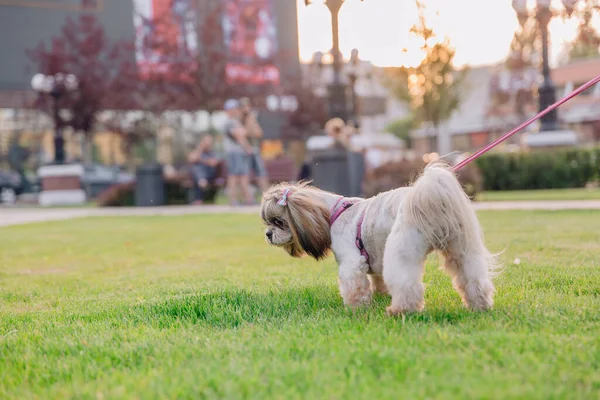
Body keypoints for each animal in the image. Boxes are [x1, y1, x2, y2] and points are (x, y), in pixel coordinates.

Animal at [260, 162, 500, 316]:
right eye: (268, 223)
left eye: (278, 222)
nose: (268, 234)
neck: (335, 212)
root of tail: (427, 196)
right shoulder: (375, 257)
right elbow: (378, 279)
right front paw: (378, 296)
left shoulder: (351, 262)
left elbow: (354, 286)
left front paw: (355, 308)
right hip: (462, 248)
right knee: (472, 277)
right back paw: (479, 305)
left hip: (402, 249)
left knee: (407, 285)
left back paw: (400, 311)